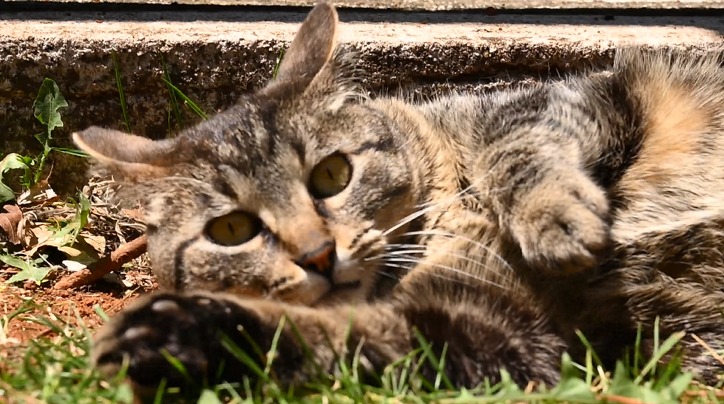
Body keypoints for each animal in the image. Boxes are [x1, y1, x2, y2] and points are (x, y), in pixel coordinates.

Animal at [70, 0, 724, 400]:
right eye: (231, 231)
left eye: (332, 174)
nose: (317, 255)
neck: (451, 206)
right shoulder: (488, 327)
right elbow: (328, 337)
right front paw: (177, 336)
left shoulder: (576, 100)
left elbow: (515, 147)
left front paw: (553, 222)